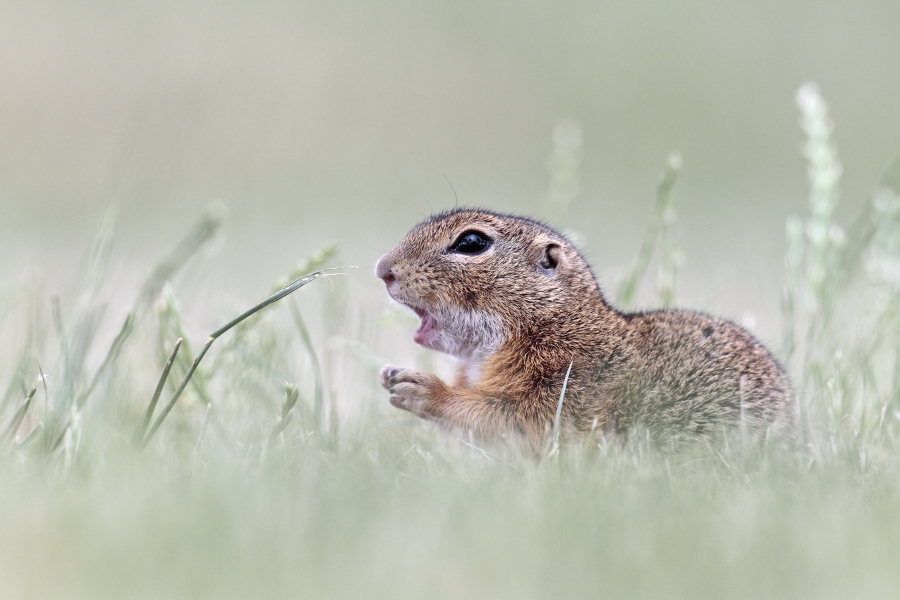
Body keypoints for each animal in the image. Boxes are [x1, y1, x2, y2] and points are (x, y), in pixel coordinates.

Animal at [376, 208, 794, 452]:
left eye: (472, 242)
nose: (382, 269)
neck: (549, 320)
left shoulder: (567, 384)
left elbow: (510, 419)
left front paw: (423, 388)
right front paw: (388, 375)